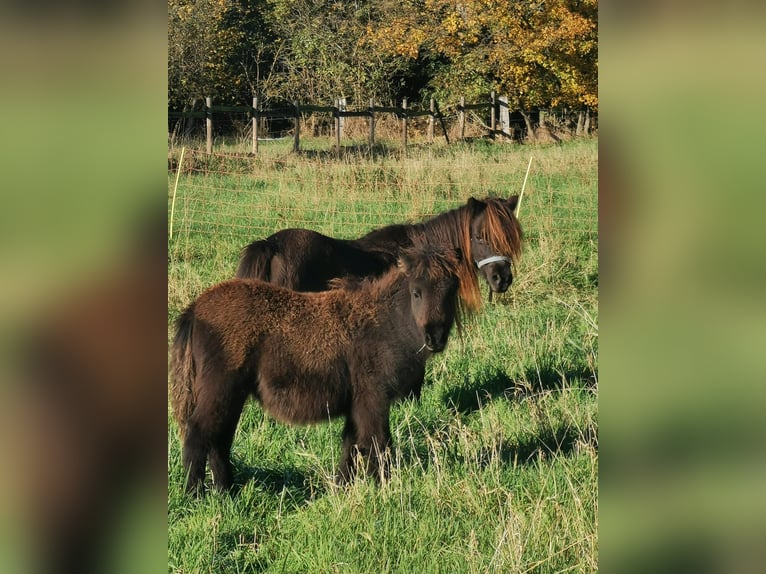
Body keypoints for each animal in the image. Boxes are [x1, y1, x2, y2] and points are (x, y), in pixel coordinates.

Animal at [171, 245, 464, 492]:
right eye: (417, 292)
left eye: (452, 291)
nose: (435, 338)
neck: (384, 321)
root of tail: (195, 309)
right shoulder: (373, 401)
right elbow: (378, 444)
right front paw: (386, 488)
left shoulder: (356, 406)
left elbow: (350, 446)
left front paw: (342, 488)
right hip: (220, 391)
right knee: (198, 434)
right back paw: (195, 494)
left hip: (233, 396)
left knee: (219, 440)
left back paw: (227, 491)